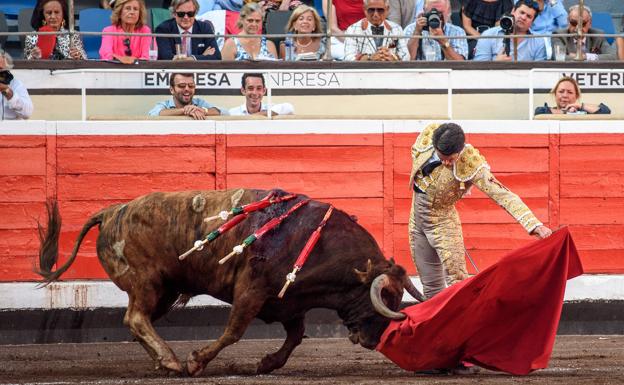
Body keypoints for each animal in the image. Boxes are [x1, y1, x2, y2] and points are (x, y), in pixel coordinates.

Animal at [37, 189, 424, 376]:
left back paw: (162, 360)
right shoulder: (251, 289)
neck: (316, 241)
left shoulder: (287, 302)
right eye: (386, 297)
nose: (374, 341)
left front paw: (267, 364)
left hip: (162, 291)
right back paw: (172, 361)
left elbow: (295, 337)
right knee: (135, 317)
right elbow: (234, 331)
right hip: (147, 283)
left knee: (137, 321)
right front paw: (196, 361)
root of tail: (112, 211)